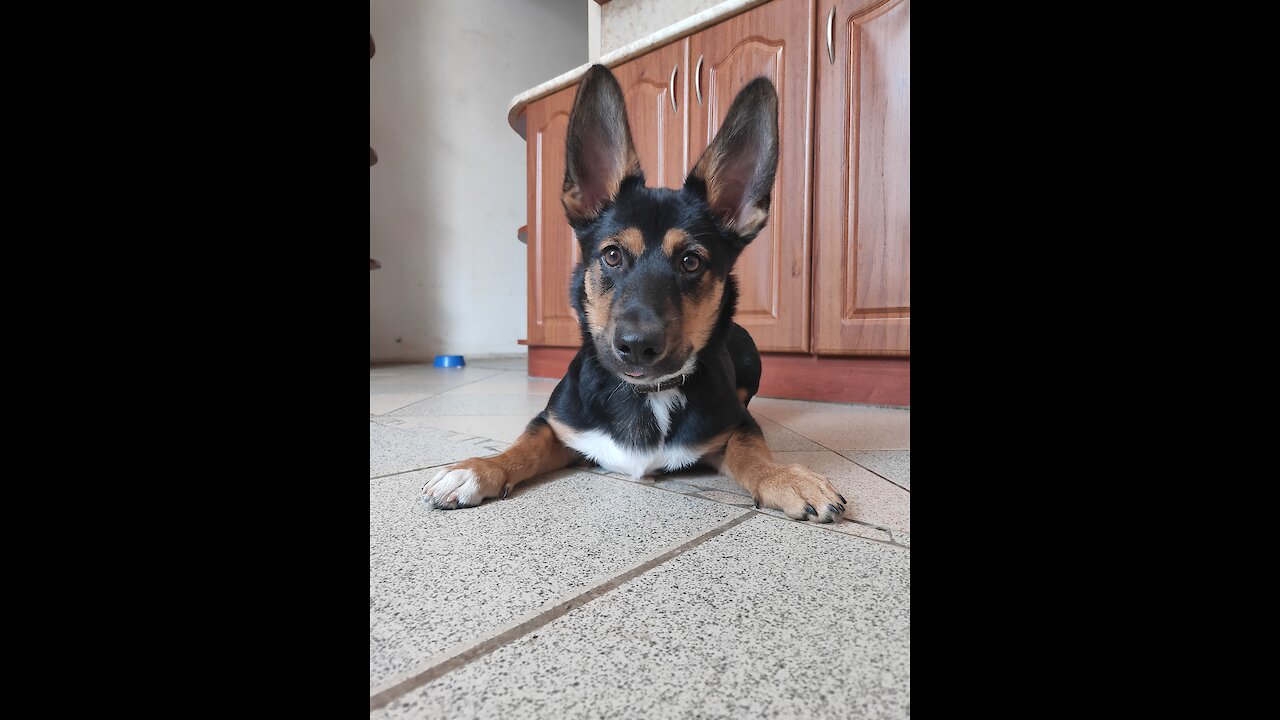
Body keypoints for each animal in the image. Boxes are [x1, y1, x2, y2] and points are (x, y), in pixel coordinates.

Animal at [424, 63, 849, 520]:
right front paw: (475, 469)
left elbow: (749, 448)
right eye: (612, 255)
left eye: (691, 261)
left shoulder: (734, 425)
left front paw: (787, 478)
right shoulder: (556, 420)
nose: (637, 346)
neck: (648, 395)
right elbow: (526, 443)